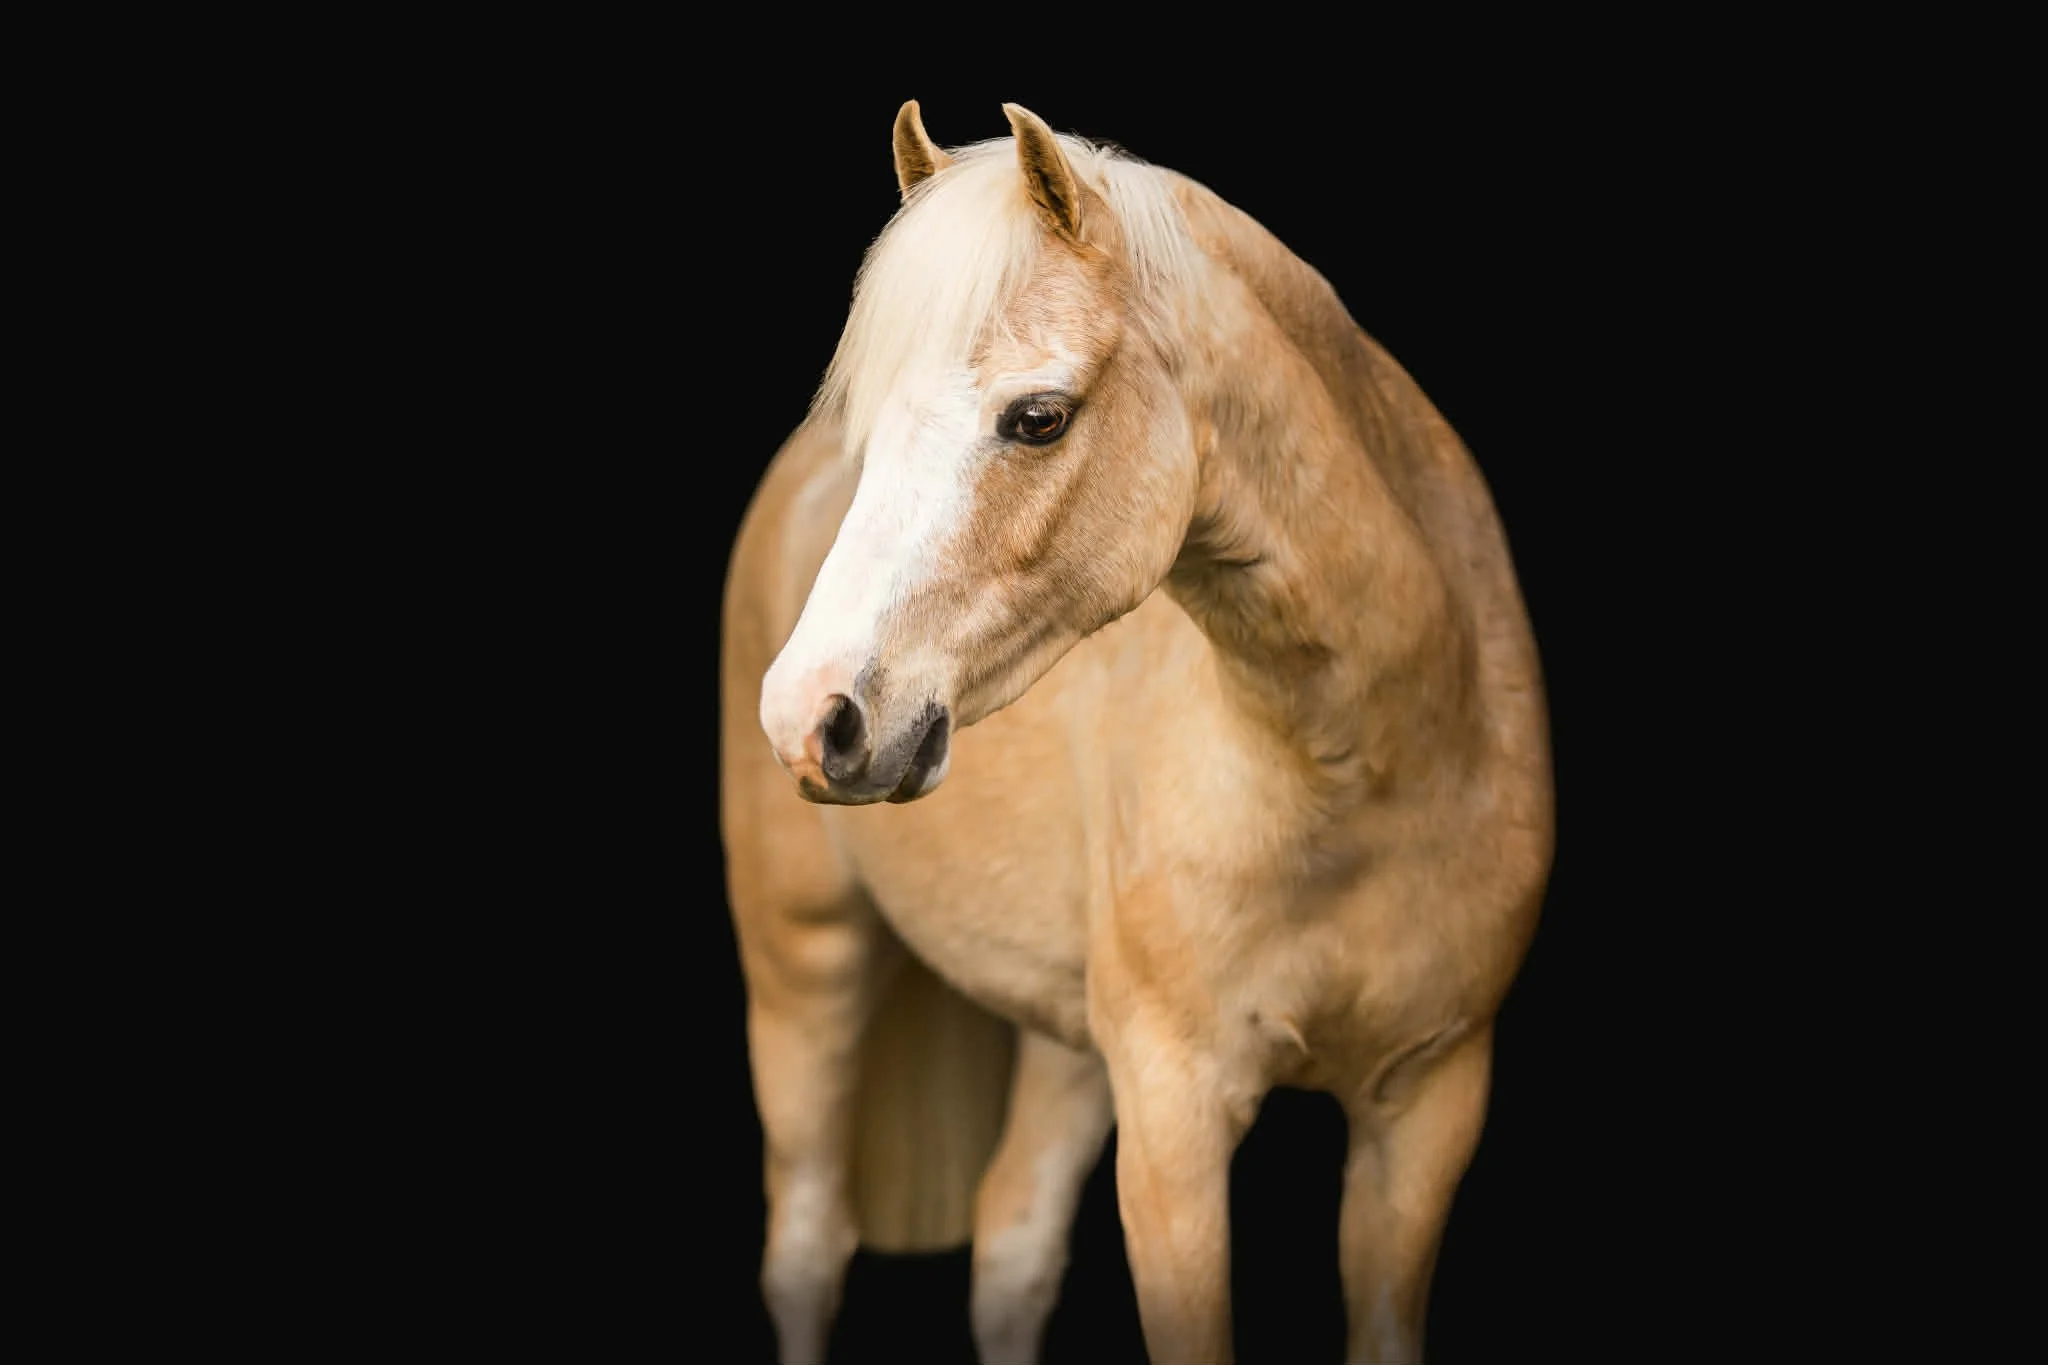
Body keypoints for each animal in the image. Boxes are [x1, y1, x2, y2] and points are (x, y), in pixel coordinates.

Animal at [719, 101, 1553, 1364]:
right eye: (868, 425)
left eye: (1037, 418)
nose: (812, 714)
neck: (1362, 771)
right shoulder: (1173, 1116)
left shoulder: (1426, 1109)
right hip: (805, 969)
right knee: (809, 1251)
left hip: (1068, 1043)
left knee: (1008, 1242)